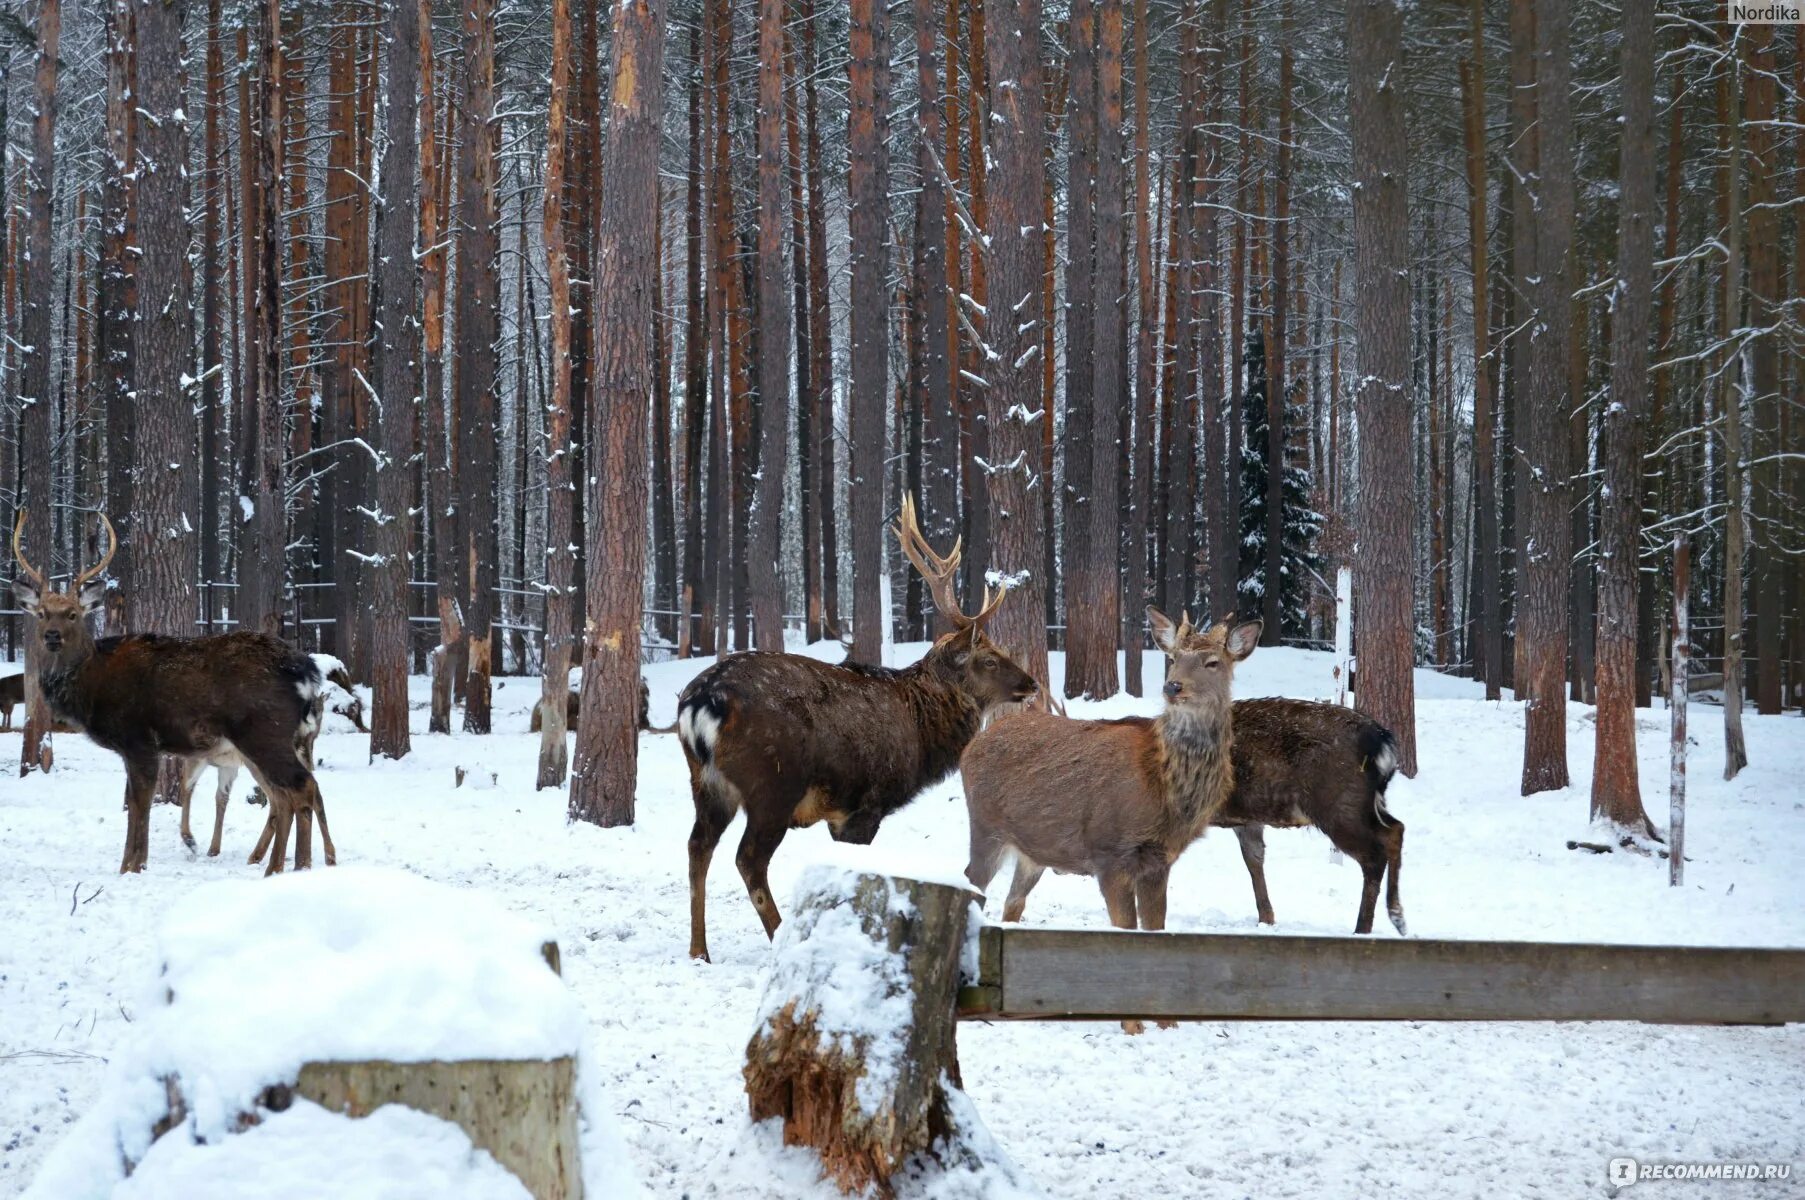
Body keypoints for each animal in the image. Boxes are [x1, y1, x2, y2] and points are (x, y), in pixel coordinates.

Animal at [13, 508, 335, 876]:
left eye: (72, 614)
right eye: (41, 614)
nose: (52, 636)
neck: (92, 686)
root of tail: (306, 671)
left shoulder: (139, 739)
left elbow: (139, 805)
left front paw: (131, 867)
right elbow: (136, 803)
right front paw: (135, 863)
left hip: (265, 733)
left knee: (300, 787)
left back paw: (291, 868)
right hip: (274, 742)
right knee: (289, 794)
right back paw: (286, 867)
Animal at [678, 490, 1046, 960]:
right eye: (989, 659)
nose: (1031, 683)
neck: (921, 735)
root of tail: (701, 704)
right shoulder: (867, 804)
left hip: (707, 784)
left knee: (698, 847)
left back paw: (698, 951)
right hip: (773, 785)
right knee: (748, 859)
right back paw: (779, 936)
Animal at [967, 609, 1400, 938]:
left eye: (1213, 661)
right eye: (1172, 656)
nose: (1172, 686)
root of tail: (1382, 738)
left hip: (1341, 802)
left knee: (1382, 844)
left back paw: (1376, 924)